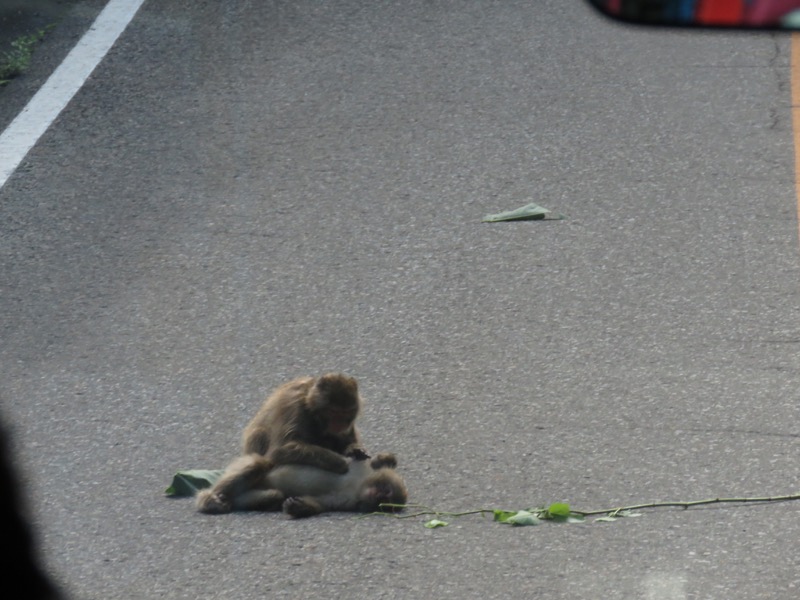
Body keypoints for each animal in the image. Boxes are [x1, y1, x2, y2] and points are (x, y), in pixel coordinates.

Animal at [195, 452, 406, 516]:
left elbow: (320, 503)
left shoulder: (349, 502)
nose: (377, 496)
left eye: (383, 504)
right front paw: (382, 459)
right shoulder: (360, 469)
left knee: (275, 494)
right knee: (257, 465)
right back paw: (208, 500)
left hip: (244, 497)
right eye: (385, 491)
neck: (359, 485)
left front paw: (297, 507)